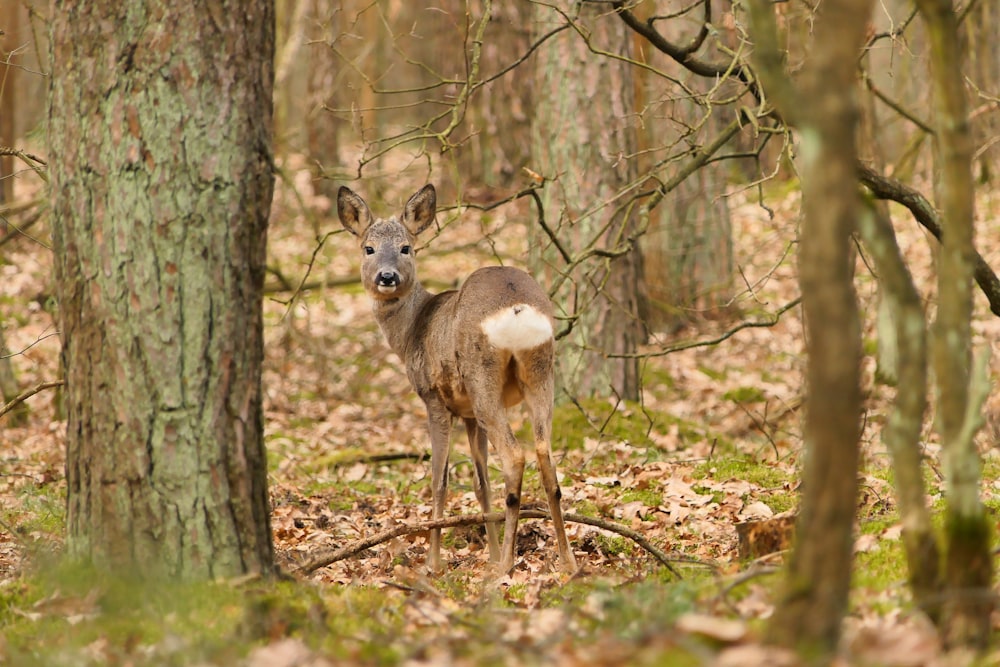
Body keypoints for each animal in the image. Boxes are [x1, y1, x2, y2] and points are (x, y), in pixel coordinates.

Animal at [340, 183, 580, 576]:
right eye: (368, 248)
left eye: (406, 247)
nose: (387, 277)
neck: (413, 330)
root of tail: (517, 308)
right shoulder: (467, 413)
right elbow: (481, 484)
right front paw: (491, 553)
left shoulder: (435, 398)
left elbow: (439, 480)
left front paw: (433, 563)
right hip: (541, 371)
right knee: (546, 456)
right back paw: (567, 561)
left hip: (483, 378)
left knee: (515, 456)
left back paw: (506, 567)